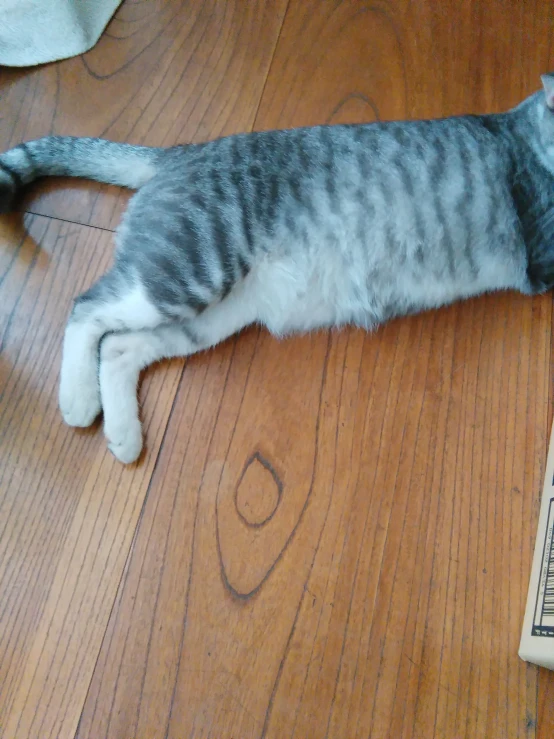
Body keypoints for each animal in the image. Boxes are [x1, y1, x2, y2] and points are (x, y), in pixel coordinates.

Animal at [1, 73, 552, 462]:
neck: (522, 130)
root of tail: (177, 155)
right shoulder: (542, 251)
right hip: (188, 267)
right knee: (86, 306)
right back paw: (78, 399)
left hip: (208, 317)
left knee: (118, 348)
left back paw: (123, 436)